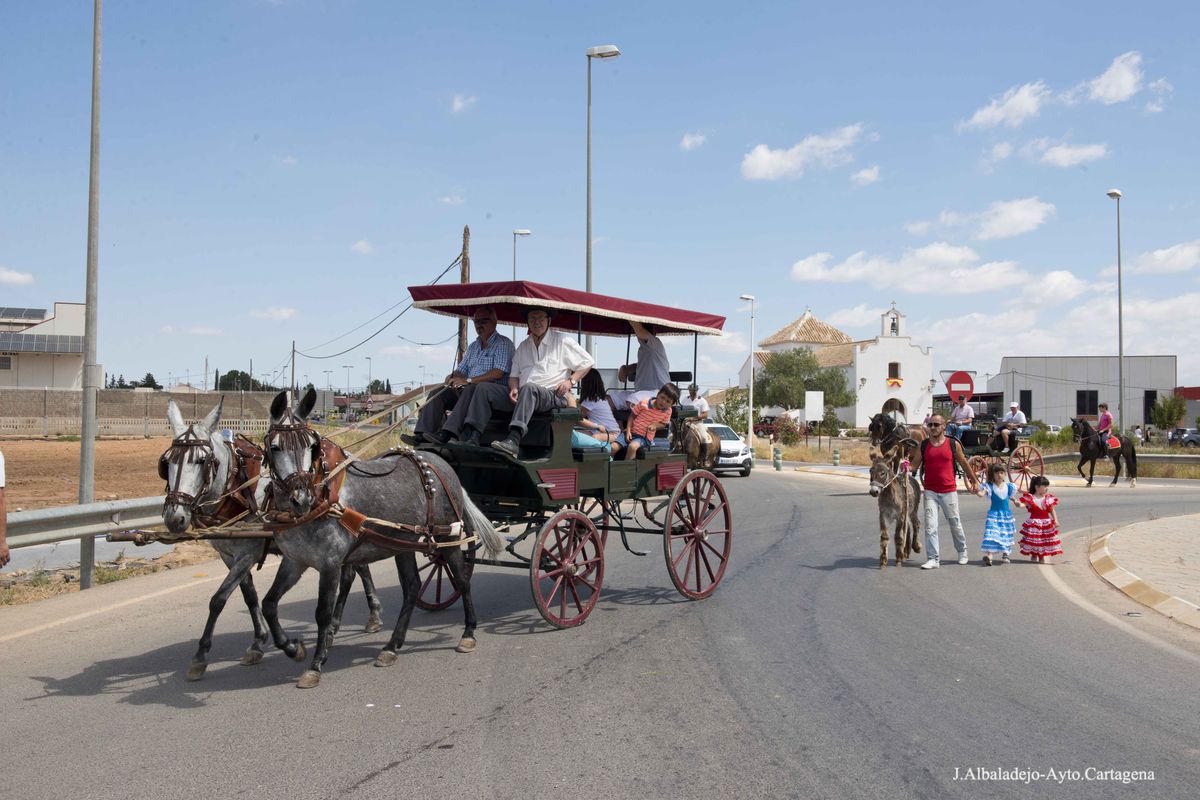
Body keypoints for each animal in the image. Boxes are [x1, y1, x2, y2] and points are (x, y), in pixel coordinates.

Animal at [160, 398, 379, 681]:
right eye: (166, 462)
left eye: (201, 461)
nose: (175, 517)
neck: (238, 489)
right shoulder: (229, 556)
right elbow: (249, 596)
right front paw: (257, 643)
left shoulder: (247, 554)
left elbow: (218, 599)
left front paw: (201, 655)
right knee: (355, 571)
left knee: (357, 572)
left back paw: (369, 617)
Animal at [260, 388, 504, 690]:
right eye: (275, 447)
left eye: (312, 446)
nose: (301, 498)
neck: (324, 497)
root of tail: (443, 466)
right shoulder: (295, 561)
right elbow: (269, 604)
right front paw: (293, 648)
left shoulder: (330, 564)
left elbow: (323, 613)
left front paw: (315, 664)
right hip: (402, 544)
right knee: (412, 587)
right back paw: (392, 646)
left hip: (446, 540)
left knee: (462, 581)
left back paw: (468, 632)